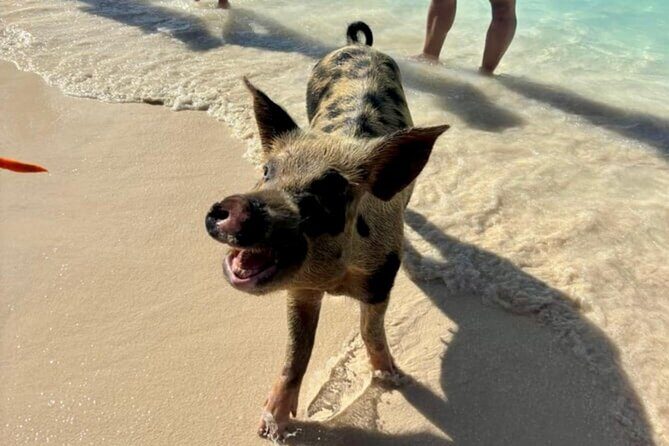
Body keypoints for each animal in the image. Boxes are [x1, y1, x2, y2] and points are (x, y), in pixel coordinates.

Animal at [205, 21, 449, 439]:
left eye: (329, 190)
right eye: (267, 171)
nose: (236, 206)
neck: (332, 278)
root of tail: (358, 45)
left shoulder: (382, 276)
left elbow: (371, 330)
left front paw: (393, 377)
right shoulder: (300, 290)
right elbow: (296, 351)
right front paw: (270, 426)